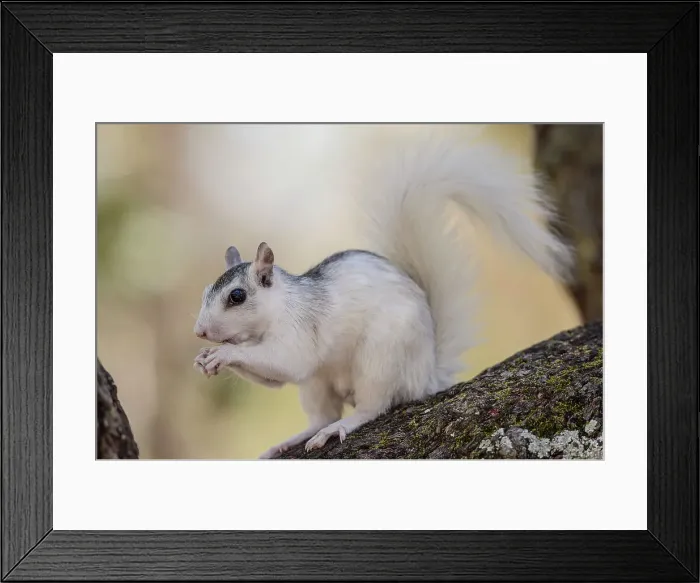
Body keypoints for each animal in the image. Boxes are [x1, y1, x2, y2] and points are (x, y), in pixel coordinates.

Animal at [193, 132, 572, 459]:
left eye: (237, 296)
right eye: (205, 291)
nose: (200, 331)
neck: (276, 310)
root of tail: (424, 377)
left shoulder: (299, 330)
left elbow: (287, 360)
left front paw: (222, 354)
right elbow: (271, 378)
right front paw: (204, 358)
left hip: (379, 358)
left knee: (370, 408)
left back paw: (339, 427)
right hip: (318, 384)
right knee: (321, 416)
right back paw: (290, 441)